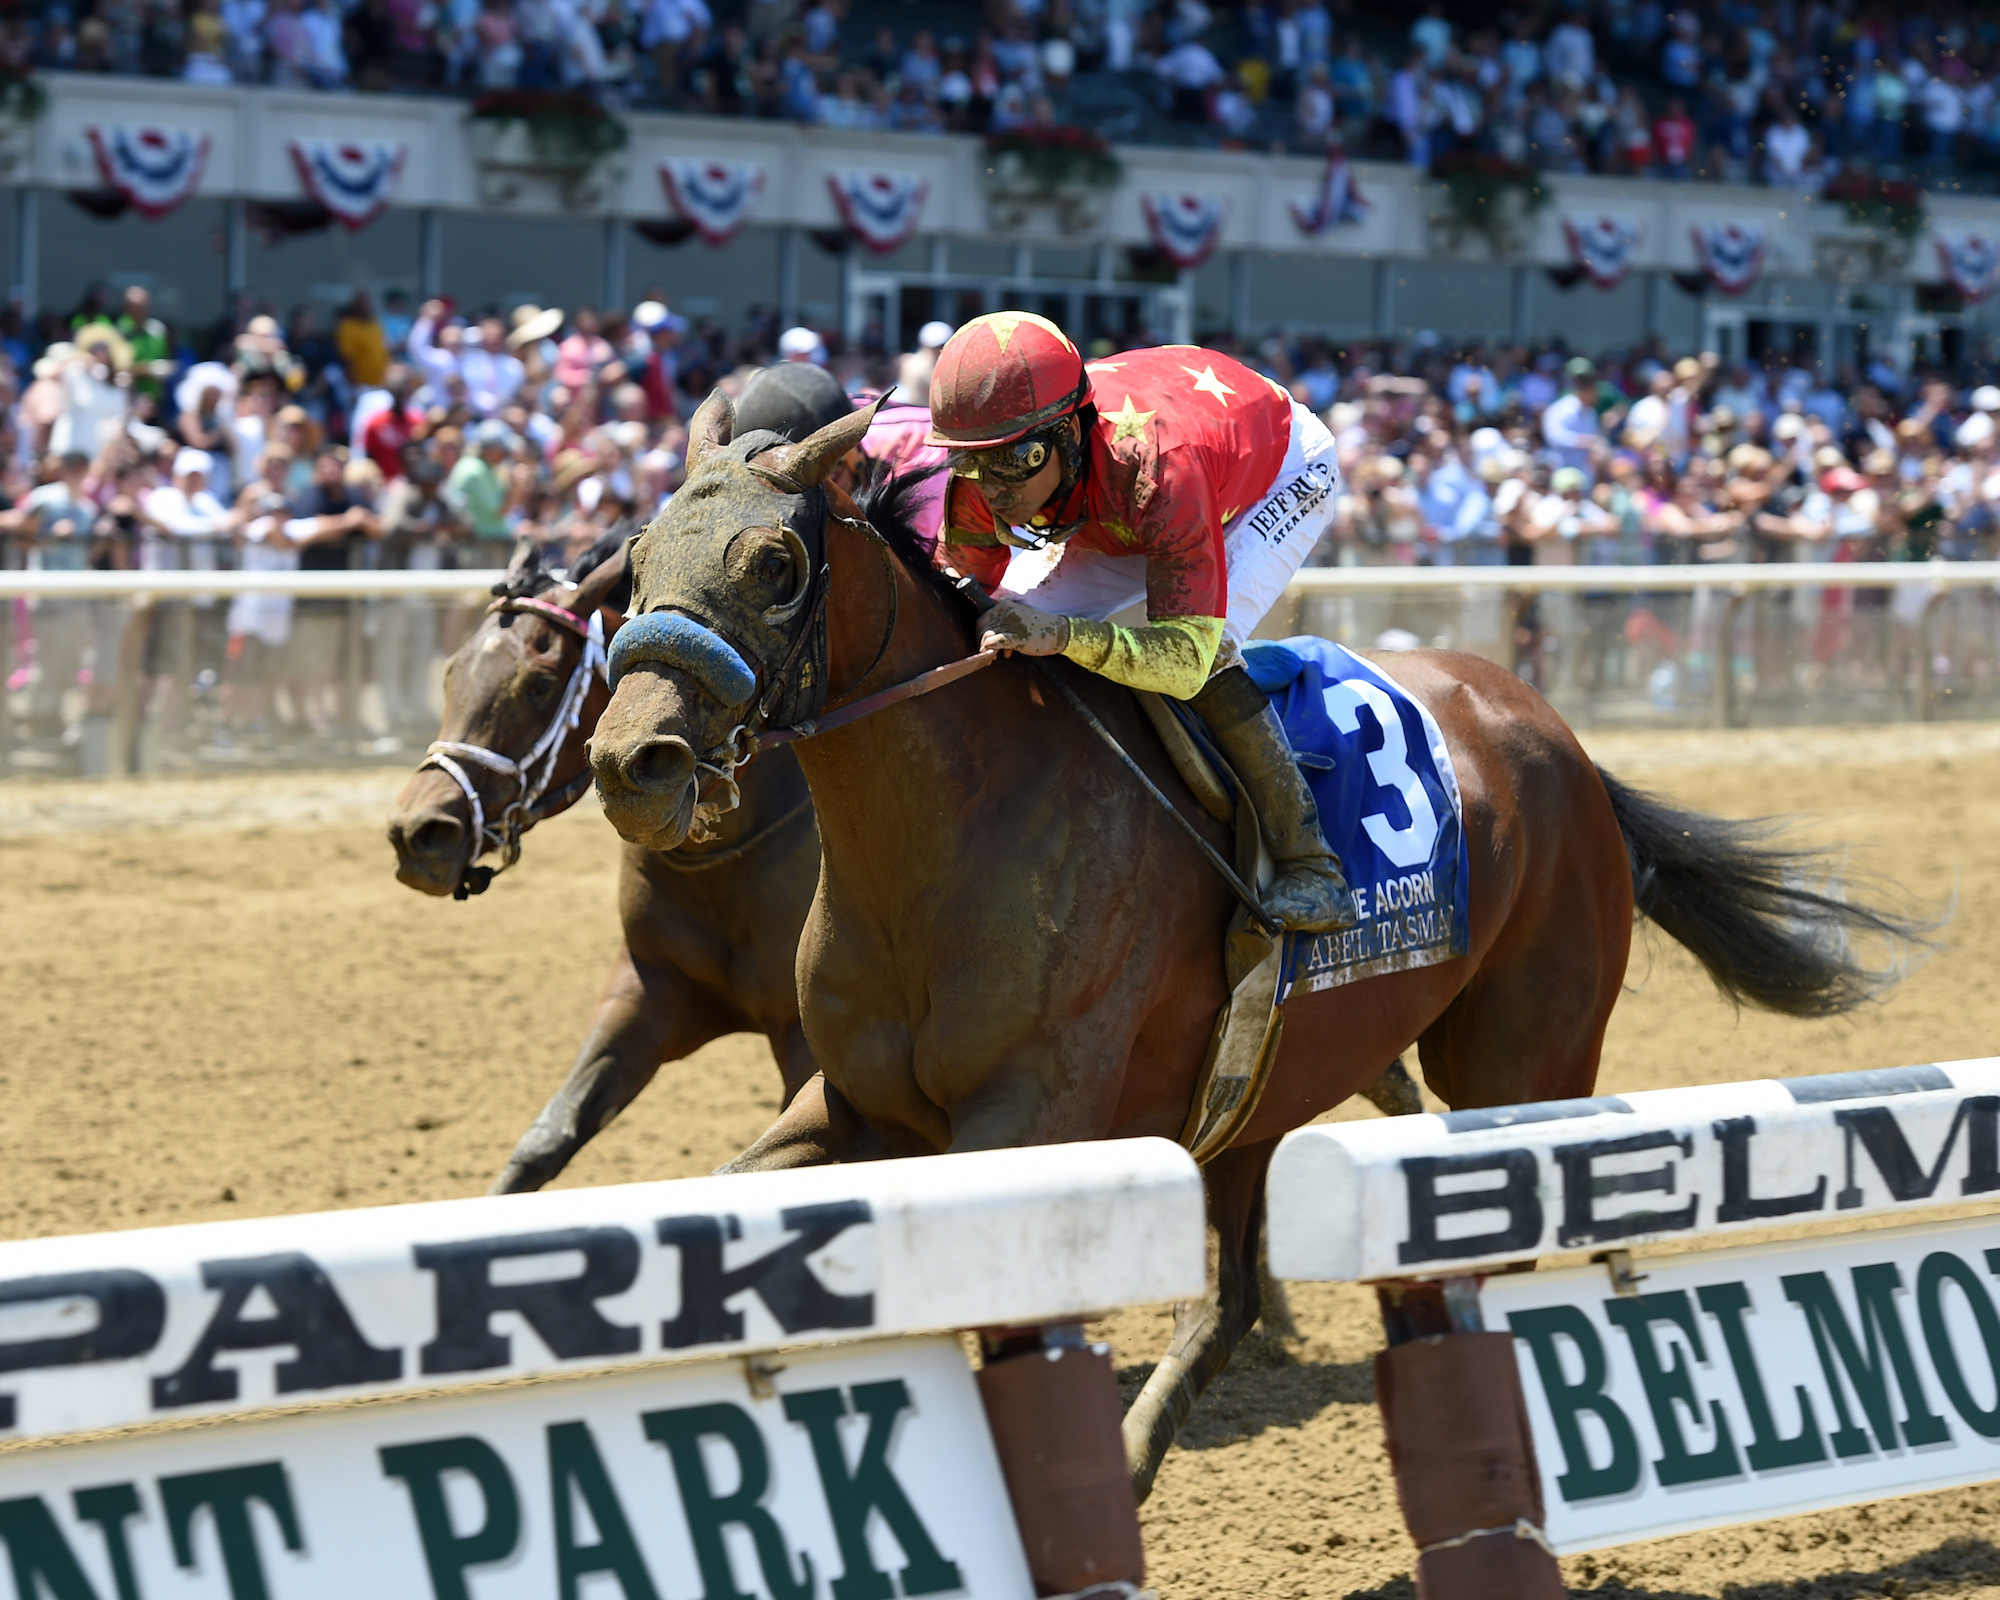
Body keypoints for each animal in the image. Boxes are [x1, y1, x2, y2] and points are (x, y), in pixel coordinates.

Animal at [588, 394, 1920, 1496]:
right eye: (632, 562)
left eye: (773, 563)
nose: (631, 761)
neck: (948, 844)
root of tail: (1558, 738)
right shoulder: (853, 1103)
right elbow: (724, 1210)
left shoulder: (1029, 1120)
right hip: (1258, 1091)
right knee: (1226, 1299)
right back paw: (1139, 1458)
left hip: (1519, 1057)